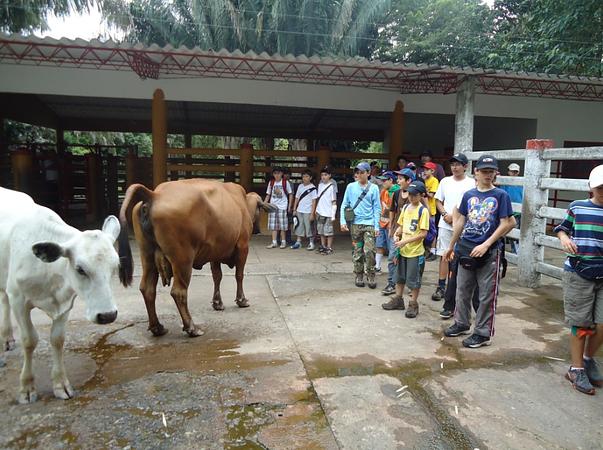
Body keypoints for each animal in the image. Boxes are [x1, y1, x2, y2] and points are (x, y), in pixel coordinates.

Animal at [0, 186, 121, 404]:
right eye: (80, 269)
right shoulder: (18, 298)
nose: (107, 315)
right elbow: (29, 340)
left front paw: (60, 384)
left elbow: (57, 340)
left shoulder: (65, 303)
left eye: (115, 266)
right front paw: (27, 387)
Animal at [118, 179, 278, 338]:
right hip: (183, 260)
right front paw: (241, 300)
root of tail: (154, 194)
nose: (257, 230)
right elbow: (239, 275)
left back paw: (157, 327)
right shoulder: (243, 247)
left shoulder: (215, 252)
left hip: (148, 256)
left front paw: (217, 302)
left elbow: (217, 276)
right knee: (179, 292)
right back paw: (192, 327)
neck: (242, 204)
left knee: (148, 289)